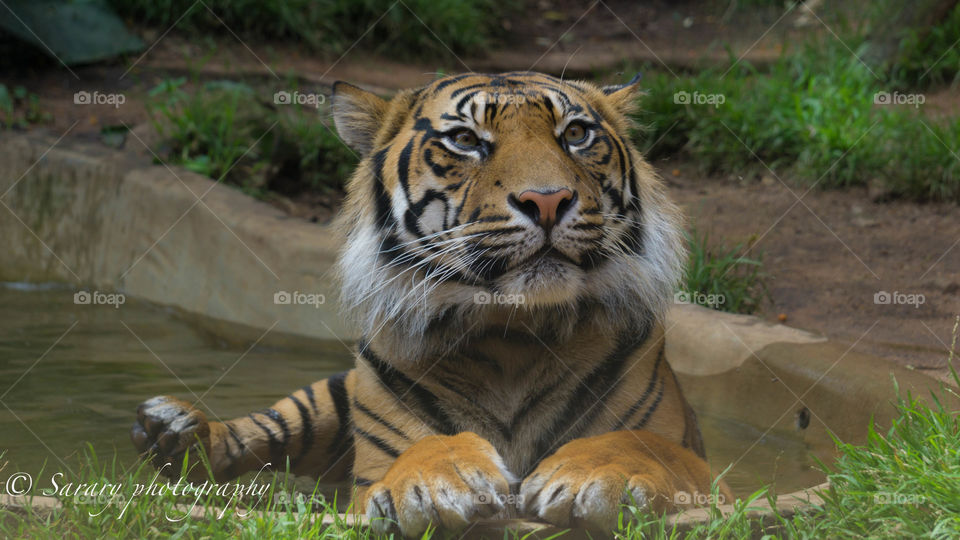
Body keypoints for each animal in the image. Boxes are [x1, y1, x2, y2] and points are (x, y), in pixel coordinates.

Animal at [131, 71, 732, 536]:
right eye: (466, 139)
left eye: (577, 134)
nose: (548, 199)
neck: (513, 332)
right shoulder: (368, 474)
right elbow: (417, 452)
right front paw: (436, 481)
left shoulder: (705, 470)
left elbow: (647, 445)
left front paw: (592, 473)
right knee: (276, 423)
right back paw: (172, 429)